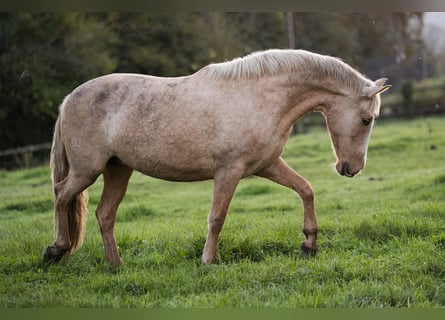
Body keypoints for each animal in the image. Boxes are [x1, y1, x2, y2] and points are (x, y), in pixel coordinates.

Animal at [42, 48, 388, 266]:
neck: (259, 97)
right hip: (88, 170)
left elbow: (306, 189)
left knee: (104, 214)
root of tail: (68, 99)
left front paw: (309, 245)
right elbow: (217, 217)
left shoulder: (267, 166)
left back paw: (116, 265)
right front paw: (208, 260)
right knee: (61, 195)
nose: (351, 168)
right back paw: (56, 250)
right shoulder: (229, 172)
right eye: (366, 120)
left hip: (118, 169)